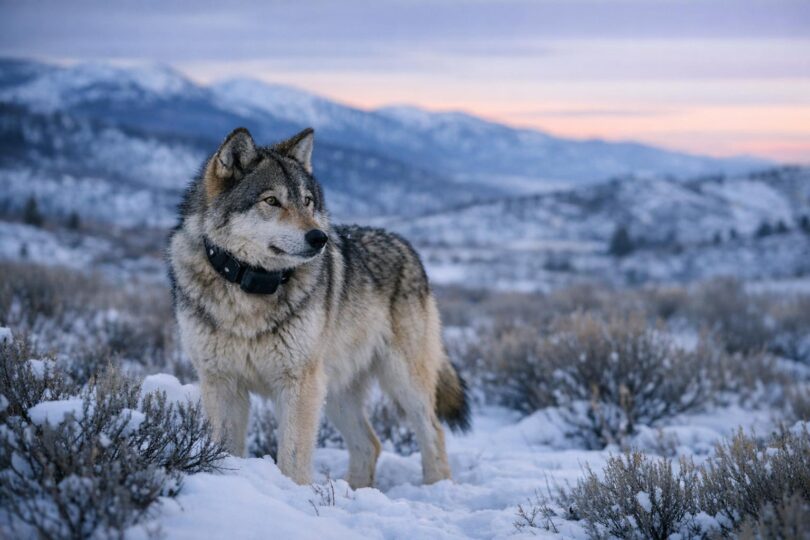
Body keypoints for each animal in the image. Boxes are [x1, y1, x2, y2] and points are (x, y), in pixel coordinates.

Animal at [168, 127, 470, 487]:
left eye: (308, 201)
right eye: (272, 201)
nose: (319, 237)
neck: (249, 286)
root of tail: (406, 245)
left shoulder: (299, 383)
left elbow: (293, 460)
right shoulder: (222, 383)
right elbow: (224, 449)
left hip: (400, 381)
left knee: (433, 432)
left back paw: (438, 487)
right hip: (336, 390)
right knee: (370, 444)